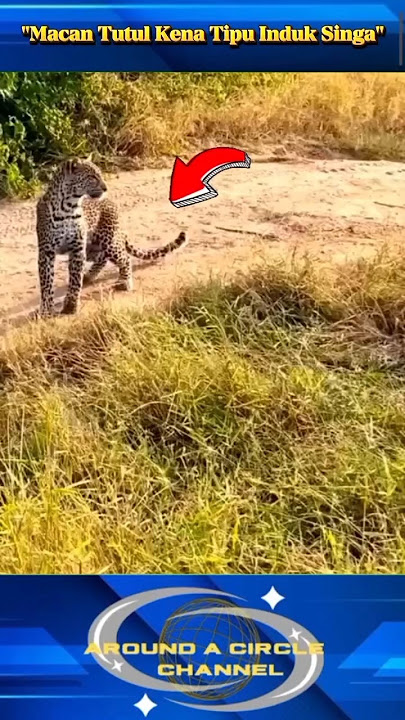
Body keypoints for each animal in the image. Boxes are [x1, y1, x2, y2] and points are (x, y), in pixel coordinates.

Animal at [36, 158, 187, 317]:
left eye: (100, 175)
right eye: (92, 177)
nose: (105, 188)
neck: (68, 207)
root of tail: (110, 201)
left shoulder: (77, 249)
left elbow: (75, 280)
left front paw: (71, 305)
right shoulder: (46, 251)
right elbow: (46, 282)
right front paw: (46, 309)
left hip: (108, 242)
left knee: (124, 257)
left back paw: (124, 281)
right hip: (93, 249)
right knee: (103, 258)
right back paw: (89, 276)